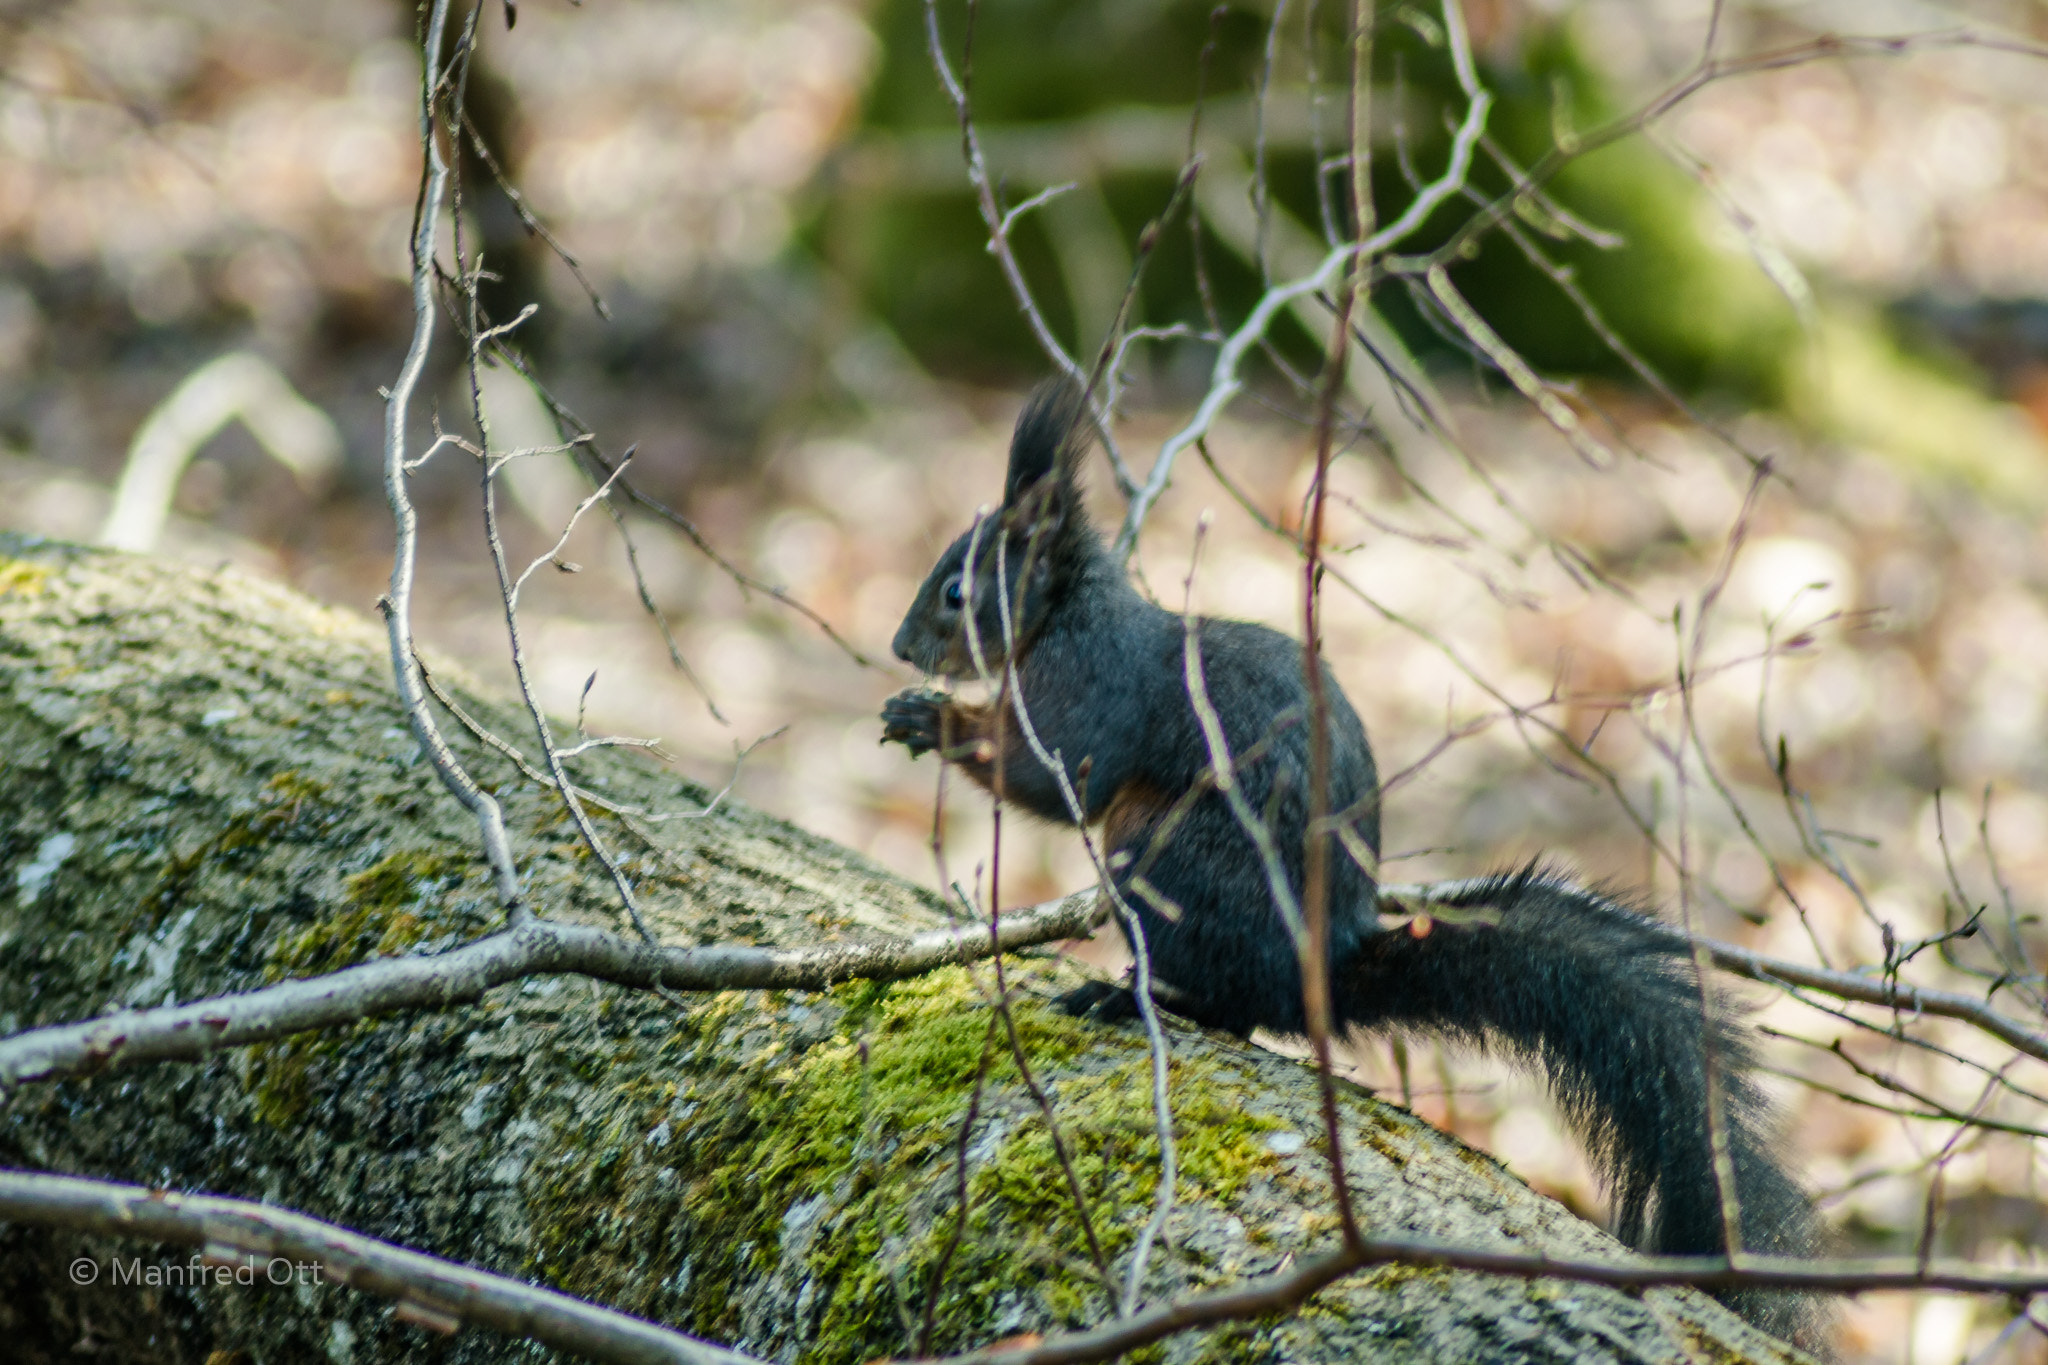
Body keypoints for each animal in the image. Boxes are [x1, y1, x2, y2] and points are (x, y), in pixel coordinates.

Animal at [880, 381, 1825, 1345]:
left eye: (957, 589)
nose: (899, 646)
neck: (1067, 610)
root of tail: (1314, 969)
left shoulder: (1089, 687)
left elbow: (1055, 777)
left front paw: (934, 719)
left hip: (1161, 854)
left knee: (1221, 1001)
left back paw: (1126, 995)